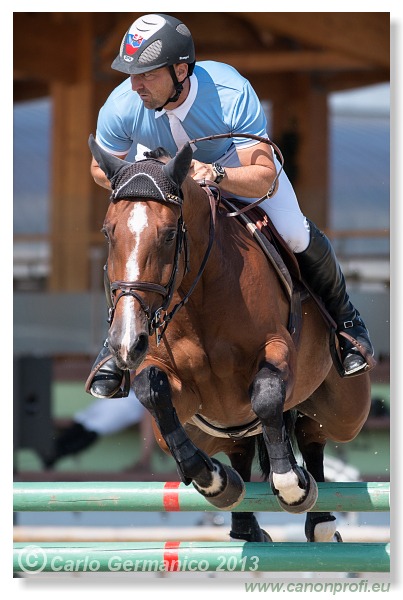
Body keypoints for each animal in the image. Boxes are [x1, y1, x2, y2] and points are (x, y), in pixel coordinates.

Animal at [89, 136, 372, 544]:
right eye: (108, 232)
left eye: (170, 234)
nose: (127, 342)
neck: (201, 295)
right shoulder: (174, 381)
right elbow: (151, 390)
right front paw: (213, 481)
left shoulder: (277, 347)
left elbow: (267, 395)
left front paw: (291, 486)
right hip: (209, 428)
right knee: (238, 448)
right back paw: (245, 524)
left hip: (346, 412)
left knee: (310, 432)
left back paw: (319, 519)